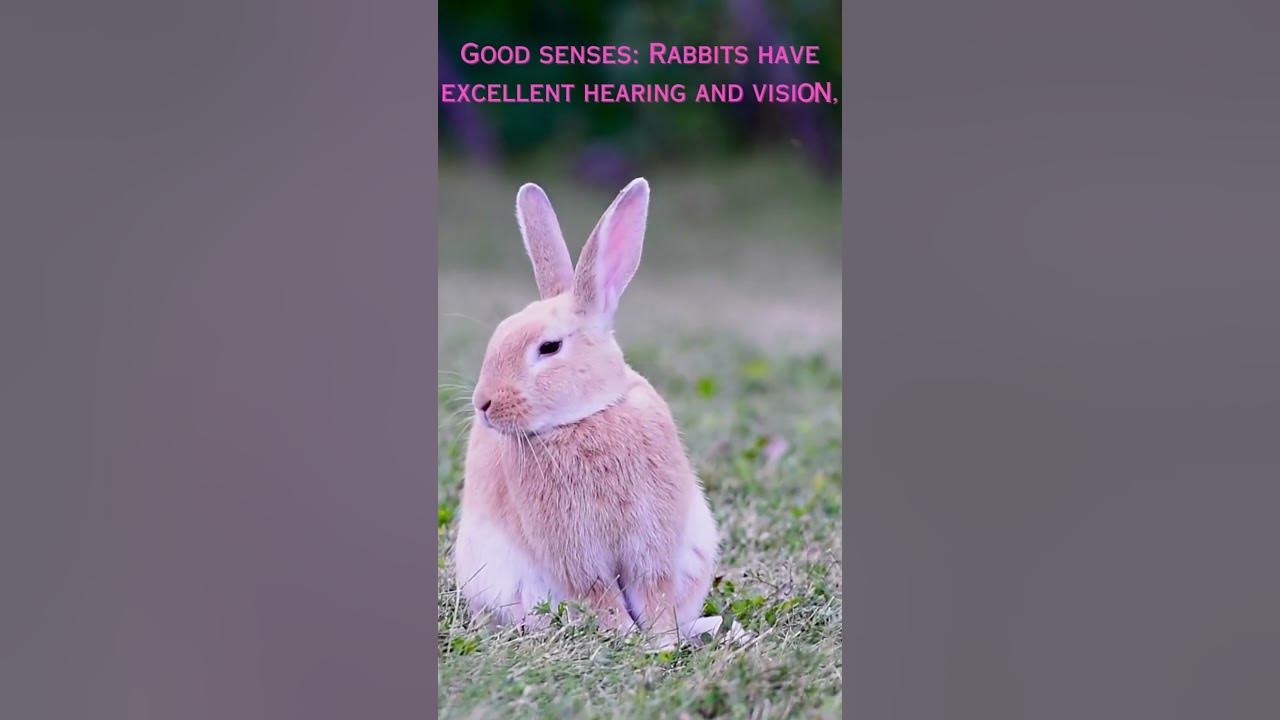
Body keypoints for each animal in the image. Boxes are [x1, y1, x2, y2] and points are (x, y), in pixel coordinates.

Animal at [452, 178, 727, 648]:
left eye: (549, 347)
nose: (483, 404)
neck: (586, 417)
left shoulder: (652, 544)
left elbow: (653, 591)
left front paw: (660, 641)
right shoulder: (575, 555)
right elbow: (599, 595)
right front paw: (629, 638)